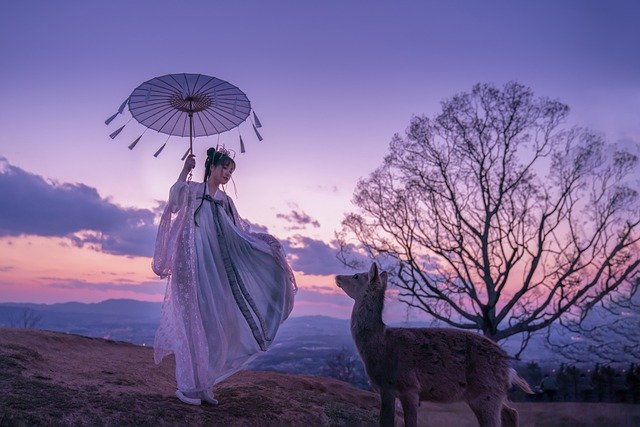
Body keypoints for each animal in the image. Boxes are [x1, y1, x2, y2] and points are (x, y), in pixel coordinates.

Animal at [338, 264, 532, 427]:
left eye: (356, 276)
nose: (337, 277)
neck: (380, 344)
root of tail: (509, 367)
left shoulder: (407, 385)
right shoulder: (386, 389)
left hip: (486, 391)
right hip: (489, 393)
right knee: (511, 412)